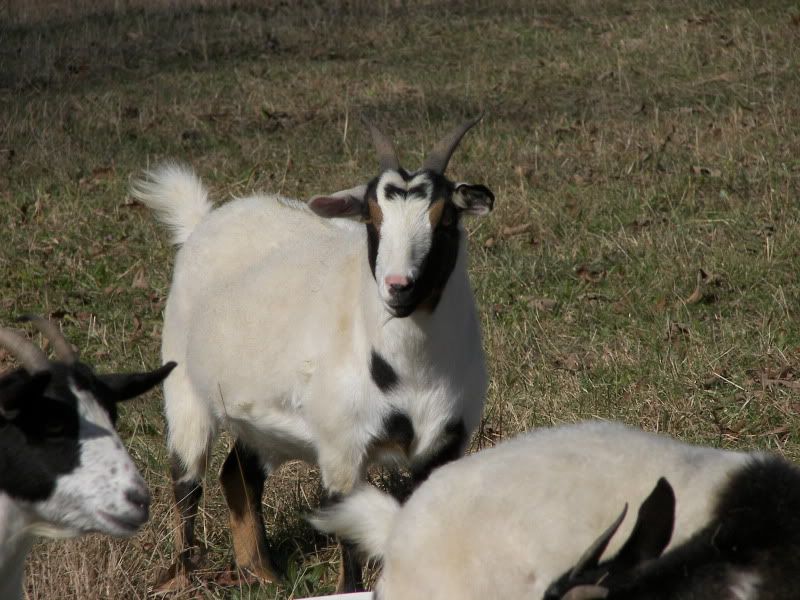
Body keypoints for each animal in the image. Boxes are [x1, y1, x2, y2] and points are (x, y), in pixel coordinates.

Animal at [132, 117, 495, 591]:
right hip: (182, 382)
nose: (398, 287)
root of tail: (202, 221)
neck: (413, 372)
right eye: (372, 218)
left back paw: (262, 575)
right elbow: (349, 539)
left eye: (446, 218)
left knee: (239, 473)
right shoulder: (342, 446)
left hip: (259, 418)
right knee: (186, 479)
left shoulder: (446, 444)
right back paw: (181, 579)